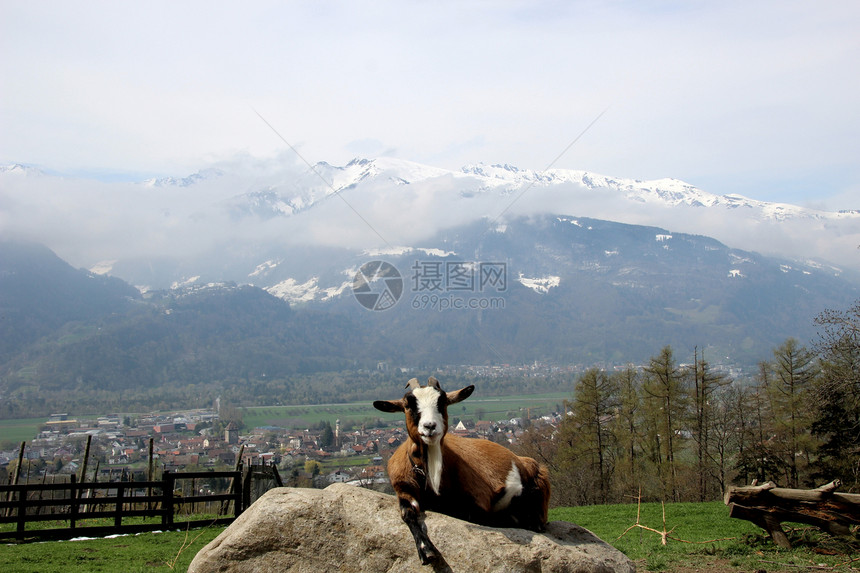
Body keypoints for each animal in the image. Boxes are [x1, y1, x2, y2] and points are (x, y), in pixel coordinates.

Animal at [372, 376, 552, 564]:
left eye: (442, 401)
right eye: (408, 405)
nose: (430, 426)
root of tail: (524, 460)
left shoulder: (478, 499)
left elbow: (468, 513)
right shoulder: (403, 488)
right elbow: (407, 513)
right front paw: (426, 550)